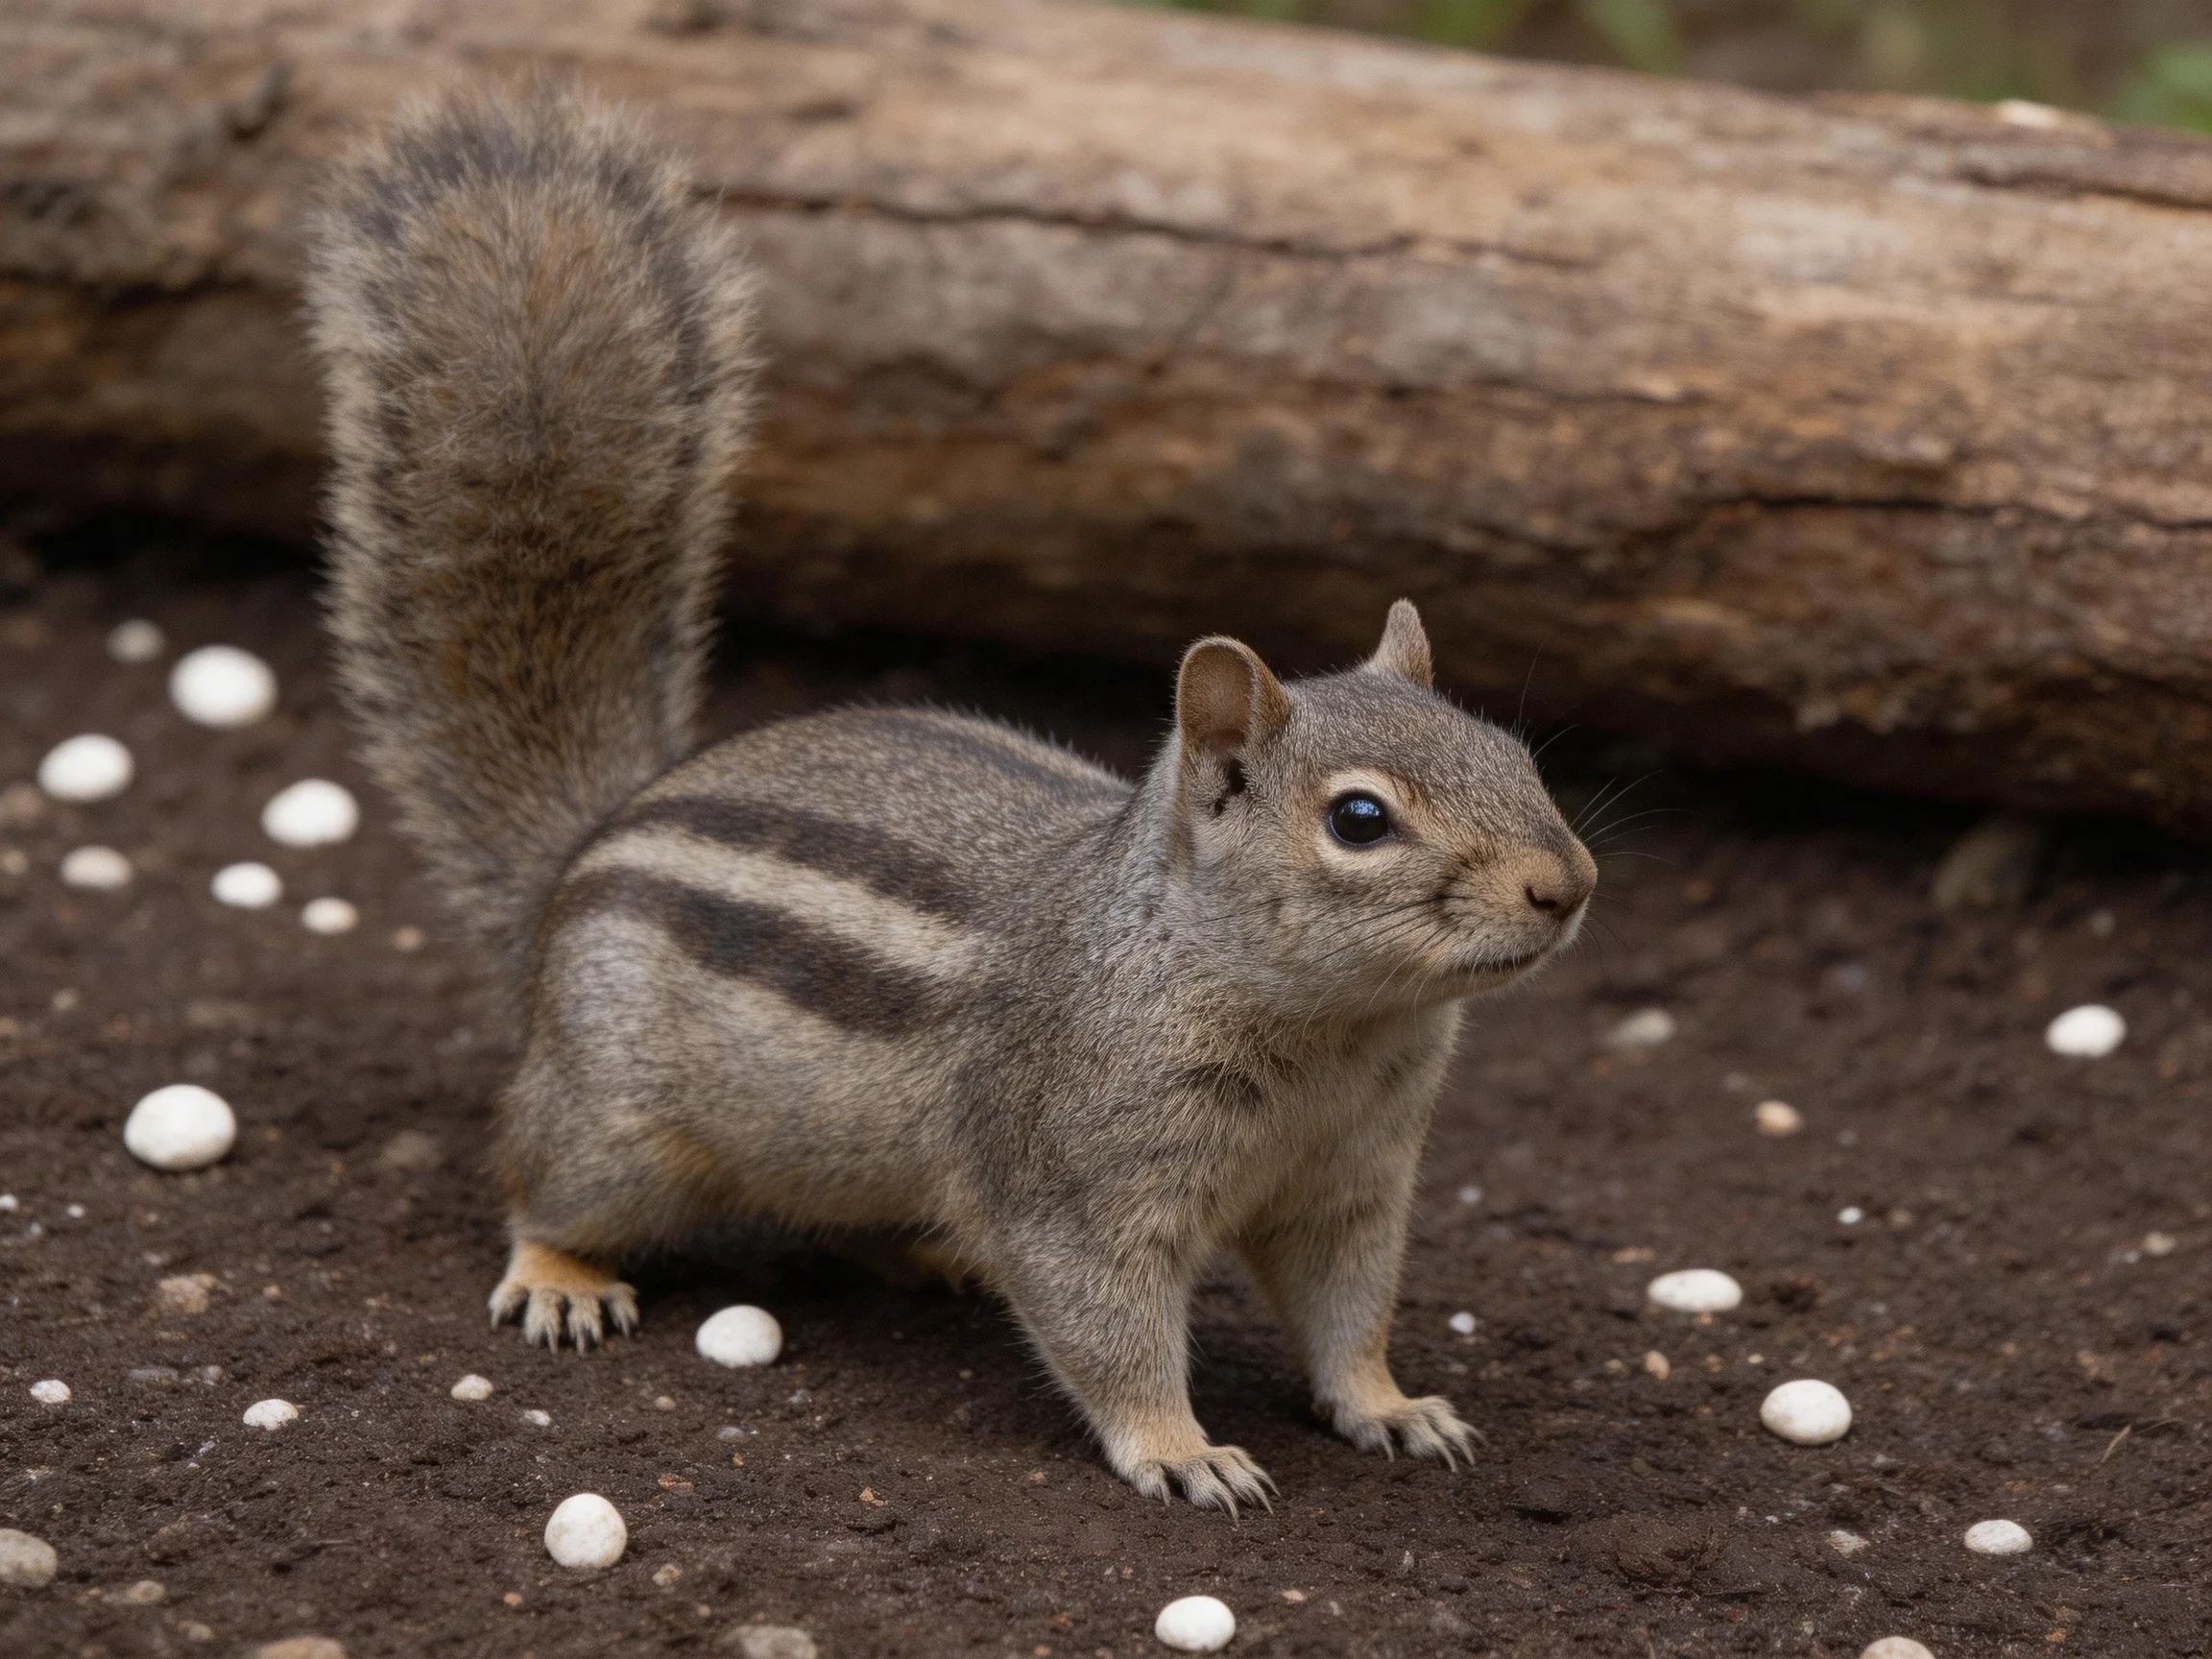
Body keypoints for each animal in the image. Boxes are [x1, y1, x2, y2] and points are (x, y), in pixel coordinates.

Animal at [306, 86, 1597, 1512]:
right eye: (1359, 819)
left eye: (1514, 753)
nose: (1569, 887)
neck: (1332, 1032)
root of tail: (583, 854)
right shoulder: (1078, 1184)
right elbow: (1110, 1325)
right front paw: (1182, 1449)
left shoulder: (1355, 1184)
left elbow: (1349, 1310)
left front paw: (1392, 1405)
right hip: (616, 1124)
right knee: (540, 1179)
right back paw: (562, 1275)